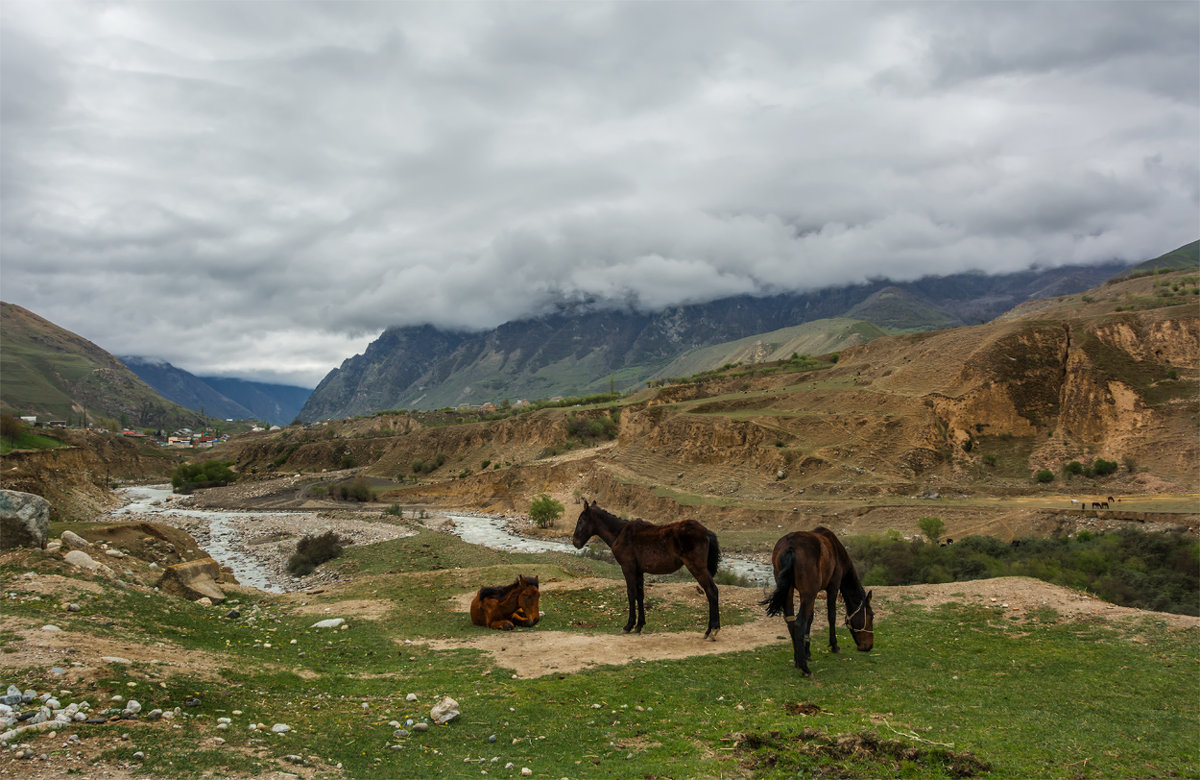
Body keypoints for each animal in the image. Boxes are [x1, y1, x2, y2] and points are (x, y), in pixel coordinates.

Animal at [571, 499, 720, 638]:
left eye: (581, 520)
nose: (575, 542)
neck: (620, 533)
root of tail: (706, 531)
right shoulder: (639, 571)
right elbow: (640, 595)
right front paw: (639, 625)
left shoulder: (628, 568)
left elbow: (631, 594)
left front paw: (628, 626)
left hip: (697, 568)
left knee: (711, 591)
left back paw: (711, 630)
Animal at [758, 528, 873, 672]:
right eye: (871, 617)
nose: (869, 646)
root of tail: (790, 547)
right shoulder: (833, 586)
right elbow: (831, 616)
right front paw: (834, 645)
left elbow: (810, 618)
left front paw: (807, 652)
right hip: (808, 593)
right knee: (798, 623)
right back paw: (805, 669)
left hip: (789, 590)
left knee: (790, 621)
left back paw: (797, 660)